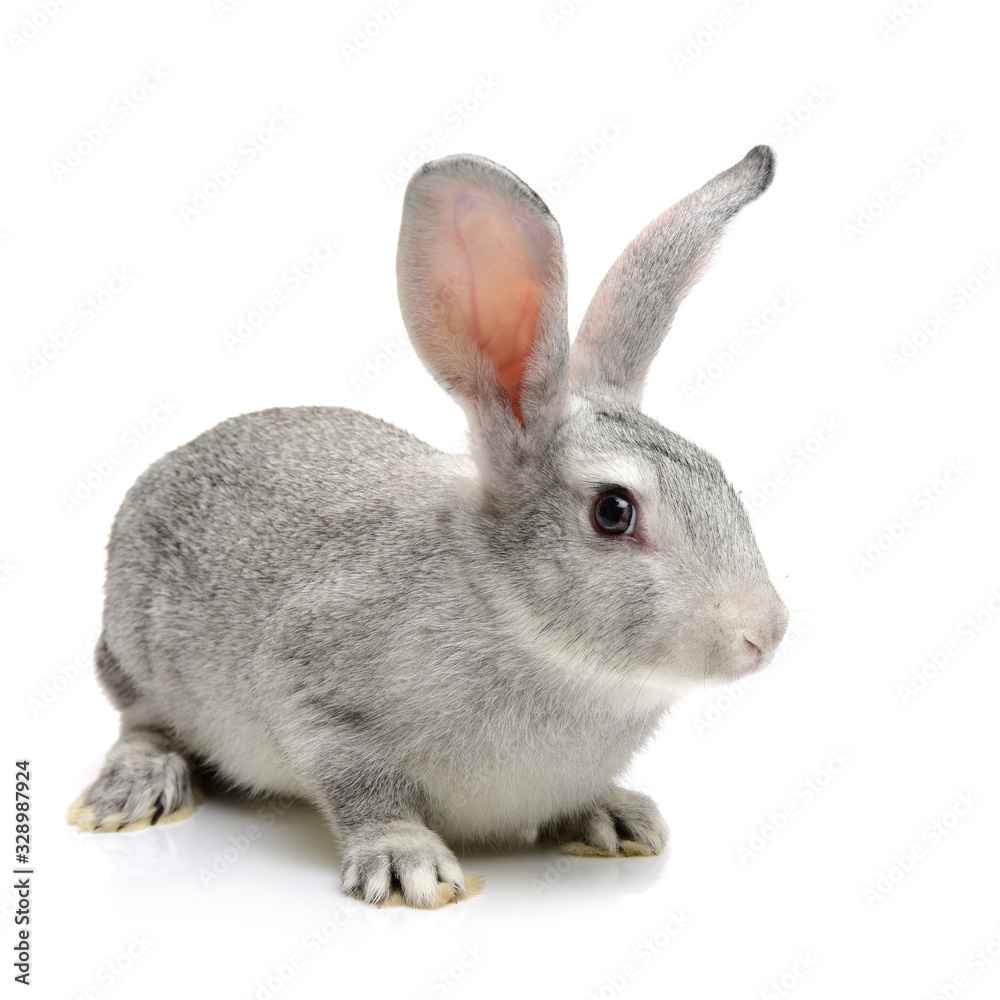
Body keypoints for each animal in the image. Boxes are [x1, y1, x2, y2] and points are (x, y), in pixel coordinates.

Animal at [67, 145, 789, 909]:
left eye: (720, 475)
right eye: (613, 511)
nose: (765, 633)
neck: (524, 625)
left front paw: (615, 817)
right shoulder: (311, 690)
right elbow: (362, 785)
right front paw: (407, 864)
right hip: (136, 653)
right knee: (140, 723)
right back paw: (133, 791)